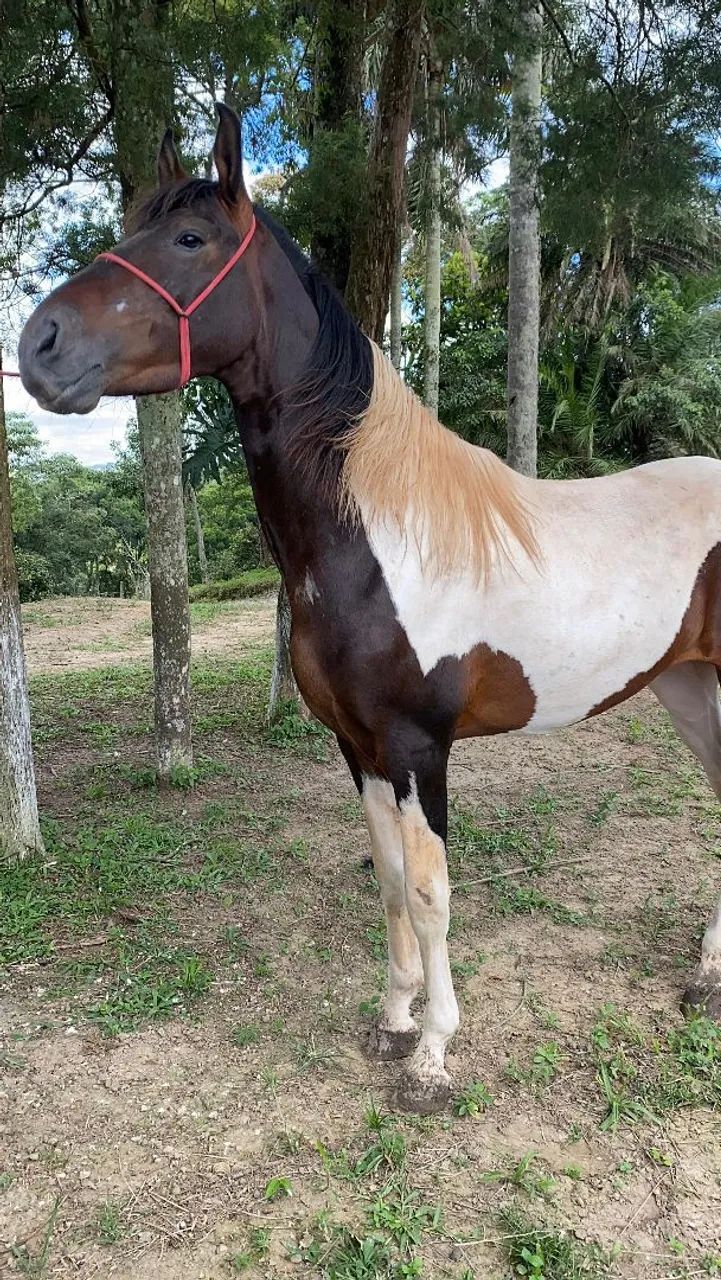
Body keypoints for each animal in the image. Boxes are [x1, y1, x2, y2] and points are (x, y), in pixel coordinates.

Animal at [18, 104, 721, 1114]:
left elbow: (430, 894)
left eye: (189, 239)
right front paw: (392, 1021)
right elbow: (389, 880)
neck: (378, 538)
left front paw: (432, 1057)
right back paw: (703, 977)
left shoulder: (418, 747)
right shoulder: (358, 747)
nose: (39, 345)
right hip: (685, 687)